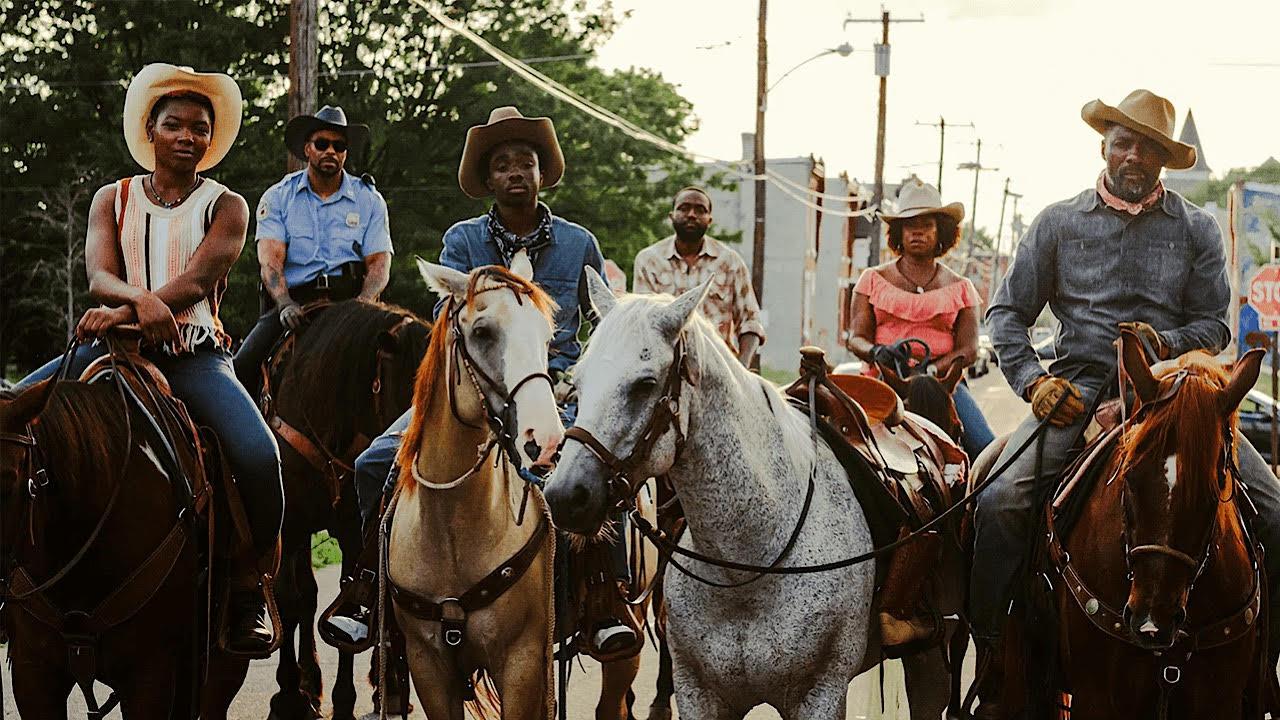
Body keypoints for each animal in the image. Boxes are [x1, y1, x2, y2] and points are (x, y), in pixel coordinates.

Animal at [257, 298, 432, 717]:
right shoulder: (292, 525)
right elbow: (293, 598)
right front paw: (289, 694)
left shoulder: (355, 530)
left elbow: (351, 592)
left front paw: (344, 699)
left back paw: (388, 686)